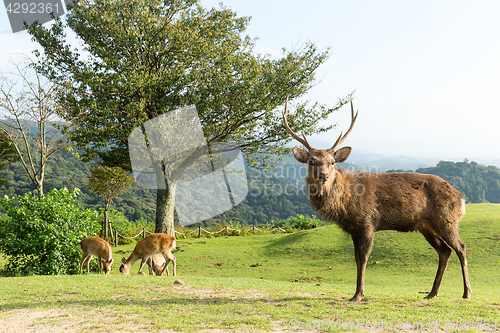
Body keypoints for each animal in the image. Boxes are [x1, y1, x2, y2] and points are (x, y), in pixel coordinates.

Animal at [284, 96, 470, 300]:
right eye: (311, 161)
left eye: (332, 162)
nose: (324, 175)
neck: (345, 203)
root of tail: (461, 198)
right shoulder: (354, 228)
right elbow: (356, 259)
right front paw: (357, 292)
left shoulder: (368, 222)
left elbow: (363, 258)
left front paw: (358, 294)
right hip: (426, 226)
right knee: (444, 251)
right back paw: (432, 293)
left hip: (446, 220)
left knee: (461, 247)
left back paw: (466, 292)